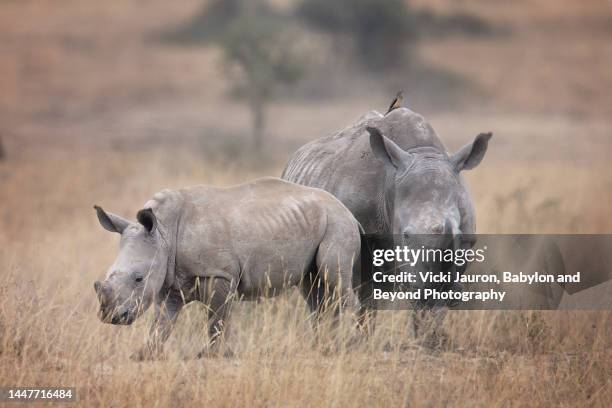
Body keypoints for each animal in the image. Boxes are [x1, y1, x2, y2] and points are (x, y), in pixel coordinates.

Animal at [93, 177, 360, 358]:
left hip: (338, 222)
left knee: (333, 278)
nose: (111, 317)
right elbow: (162, 323)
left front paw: (210, 354)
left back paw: (353, 344)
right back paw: (323, 347)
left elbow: (216, 319)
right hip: (315, 221)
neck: (163, 232)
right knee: (314, 288)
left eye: (138, 278)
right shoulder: (170, 279)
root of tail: (345, 207)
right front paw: (144, 354)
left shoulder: (218, 273)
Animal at [284, 107, 492, 338]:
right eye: (406, 235)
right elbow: (367, 301)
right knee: (321, 292)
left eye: (460, 235)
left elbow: (431, 311)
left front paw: (427, 340)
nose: (437, 287)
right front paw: (364, 340)